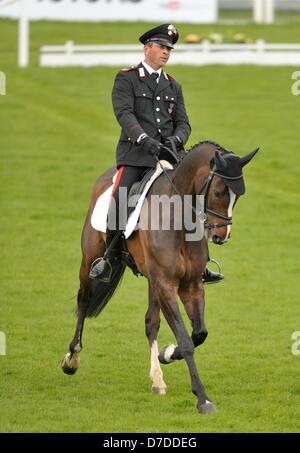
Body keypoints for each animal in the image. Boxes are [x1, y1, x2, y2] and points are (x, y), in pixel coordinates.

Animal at [61, 140, 258, 414]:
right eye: (219, 192)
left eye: (238, 196)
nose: (221, 236)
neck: (178, 218)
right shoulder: (166, 285)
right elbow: (186, 340)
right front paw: (203, 399)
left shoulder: (190, 285)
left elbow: (199, 334)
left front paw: (167, 354)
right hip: (91, 258)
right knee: (83, 300)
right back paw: (72, 359)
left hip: (152, 280)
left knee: (151, 322)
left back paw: (157, 379)